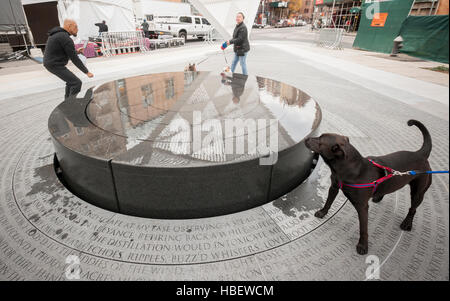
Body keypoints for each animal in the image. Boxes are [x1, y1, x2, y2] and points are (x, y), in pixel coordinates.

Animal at [306, 119, 432, 253]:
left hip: (418, 191)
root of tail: (420, 154)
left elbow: (363, 228)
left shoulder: (362, 207)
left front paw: (363, 245)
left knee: (413, 209)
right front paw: (322, 213)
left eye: (319, 140)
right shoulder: (334, 187)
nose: (306, 138)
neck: (350, 168)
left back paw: (407, 223)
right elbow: (328, 202)